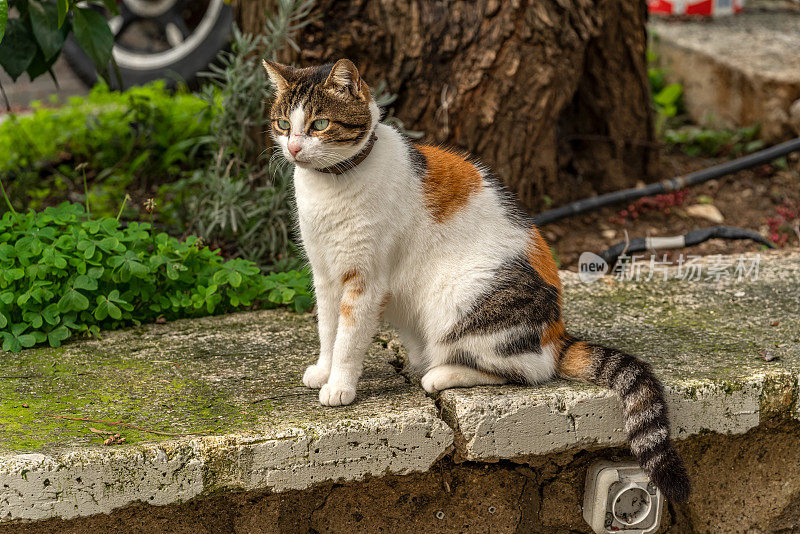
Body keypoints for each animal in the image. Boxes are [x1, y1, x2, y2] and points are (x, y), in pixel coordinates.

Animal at [266, 59, 692, 506]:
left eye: (319, 124)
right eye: (283, 123)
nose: (294, 148)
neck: (329, 188)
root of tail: (557, 333)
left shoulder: (365, 279)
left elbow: (348, 338)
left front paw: (340, 386)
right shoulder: (325, 274)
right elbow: (328, 329)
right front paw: (323, 370)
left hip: (454, 296)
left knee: (529, 370)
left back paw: (441, 374)